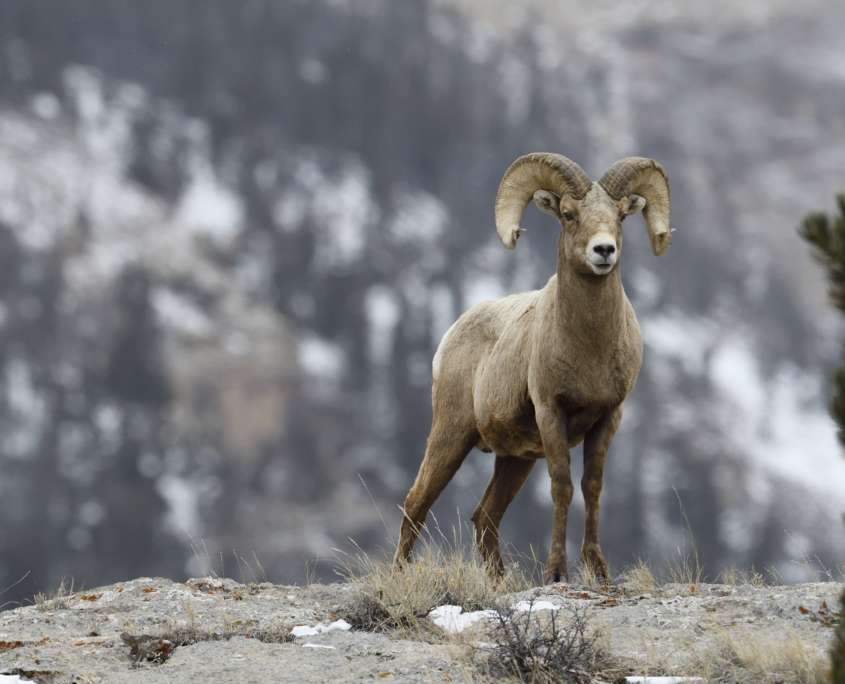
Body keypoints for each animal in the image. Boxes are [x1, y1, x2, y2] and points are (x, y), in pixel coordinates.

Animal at [394, 153, 672, 583]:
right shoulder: (550, 411)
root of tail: (452, 333)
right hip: (451, 435)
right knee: (416, 502)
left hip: (515, 460)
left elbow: (592, 487)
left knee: (485, 517)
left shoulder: (609, 416)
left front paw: (598, 570)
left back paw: (498, 581)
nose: (604, 250)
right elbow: (563, 487)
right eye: (569, 215)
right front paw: (556, 572)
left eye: (621, 216)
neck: (589, 346)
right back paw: (396, 578)